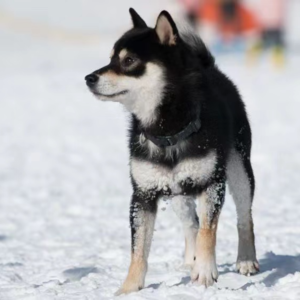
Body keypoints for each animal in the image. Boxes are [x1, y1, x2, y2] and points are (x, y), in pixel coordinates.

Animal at [84, 7, 258, 296]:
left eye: (129, 60)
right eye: (111, 58)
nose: (89, 78)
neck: (167, 129)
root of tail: (212, 69)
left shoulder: (212, 184)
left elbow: (208, 232)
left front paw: (205, 272)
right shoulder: (143, 194)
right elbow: (139, 250)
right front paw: (129, 288)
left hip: (240, 171)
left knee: (244, 218)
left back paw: (246, 260)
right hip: (176, 192)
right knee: (191, 224)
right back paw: (190, 261)